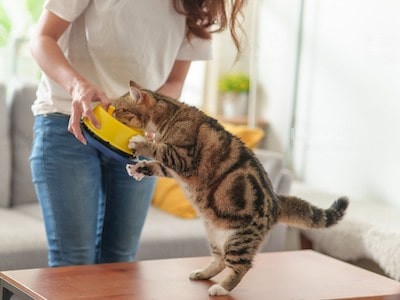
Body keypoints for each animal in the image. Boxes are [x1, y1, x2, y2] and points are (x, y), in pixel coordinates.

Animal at [113, 81, 350, 296]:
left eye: (120, 109)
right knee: (220, 260)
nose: (111, 112)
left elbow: (159, 149)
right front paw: (139, 168)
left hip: (239, 239)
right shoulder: (172, 168)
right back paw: (202, 273)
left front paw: (140, 142)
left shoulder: (182, 157)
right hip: (214, 234)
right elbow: (157, 165)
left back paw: (221, 288)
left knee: (241, 266)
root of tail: (276, 201)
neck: (171, 115)